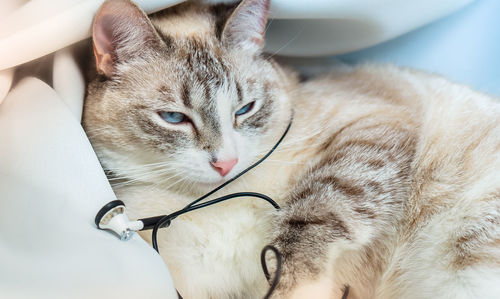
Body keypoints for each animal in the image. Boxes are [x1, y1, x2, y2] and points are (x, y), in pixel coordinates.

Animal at [82, 0, 500, 298]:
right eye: (173, 117)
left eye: (245, 109)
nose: (227, 163)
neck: (219, 197)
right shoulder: (187, 277)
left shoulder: (375, 125)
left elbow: (313, 220)